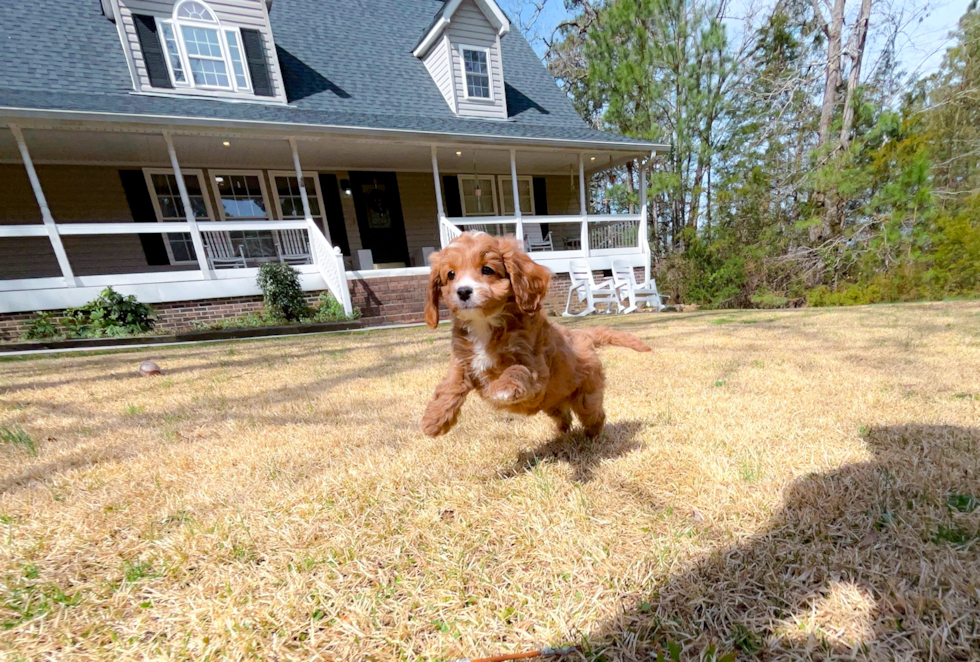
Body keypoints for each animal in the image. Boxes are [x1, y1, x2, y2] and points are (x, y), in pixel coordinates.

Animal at [422, 231, 652, 438]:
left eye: (487, 269)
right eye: (451, 274)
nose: (463, 291)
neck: (484, 323)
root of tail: (581, 334)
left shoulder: (534, 367)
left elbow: (516, 370)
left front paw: (502, 388)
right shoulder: (463, 360)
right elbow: (450, 385)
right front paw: (434, 419)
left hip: (586, 395)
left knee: (594, 413)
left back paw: (592, 435)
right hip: (553, 402)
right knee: (564, 415)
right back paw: (561, 434)